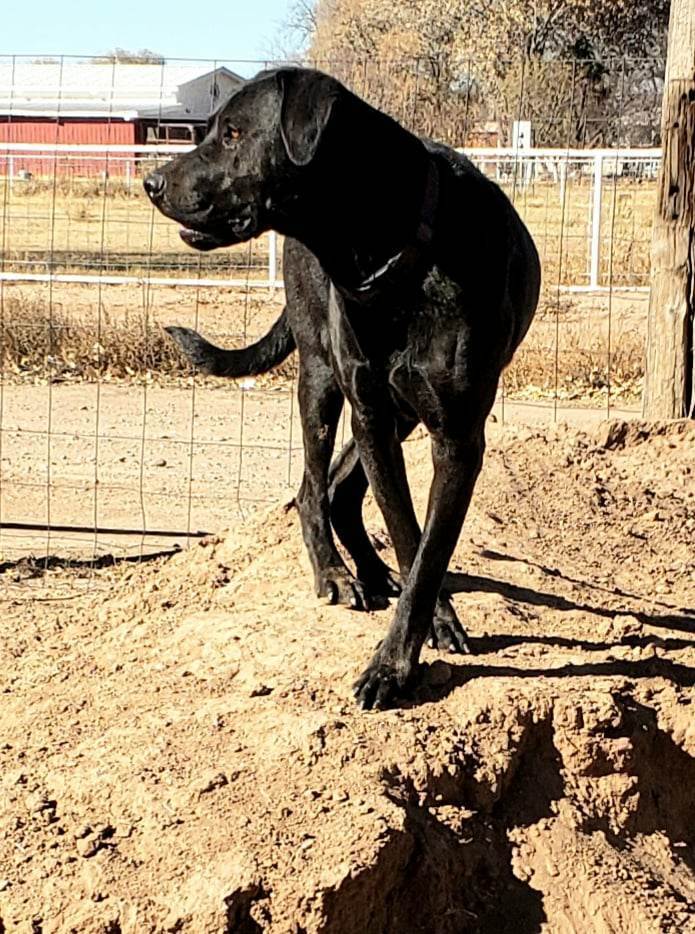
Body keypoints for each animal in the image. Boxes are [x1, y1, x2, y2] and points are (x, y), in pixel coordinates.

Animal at [144, 67, 540, 708]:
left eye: (233, 133)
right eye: (209, 129)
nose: (151, 182)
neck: (398, 251)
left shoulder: (454, 435)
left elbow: (428, 550)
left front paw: (397, 657)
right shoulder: (371, 410)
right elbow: (408, 533)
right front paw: (418, 640)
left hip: (386, 409)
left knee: (335, 489)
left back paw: (371, 574)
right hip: (323, 382)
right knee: (312, 489)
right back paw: (335, 573)